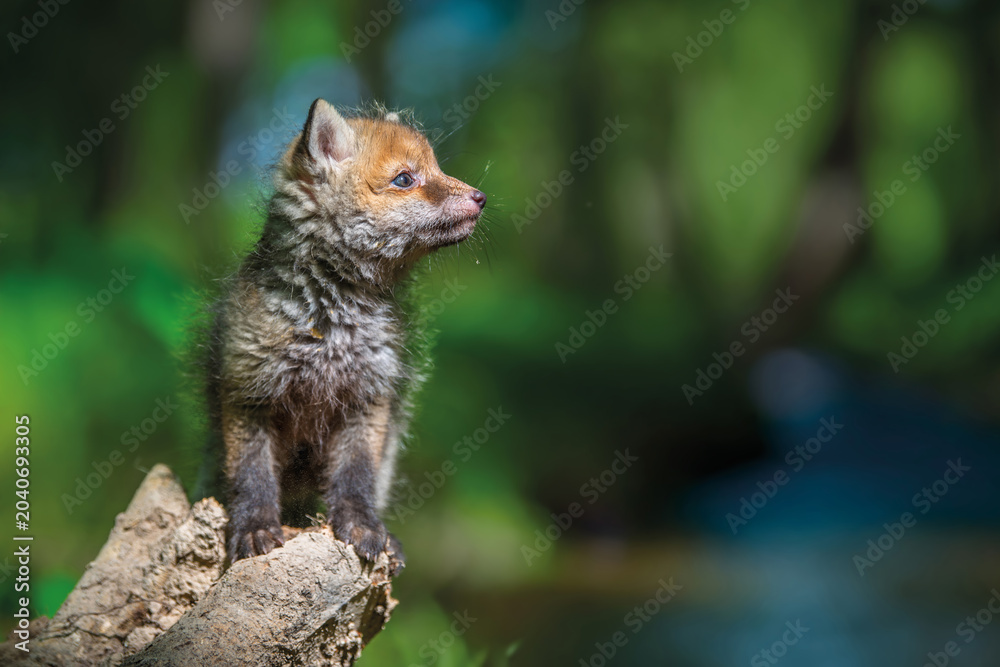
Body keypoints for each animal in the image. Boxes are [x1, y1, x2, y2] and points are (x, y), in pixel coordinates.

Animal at [199, 99, 487, 566]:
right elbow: (251, 477)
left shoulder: (368, 400)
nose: (481, 198)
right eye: (405, 179)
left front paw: (363, 527)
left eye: (437, 168)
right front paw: (255, 528)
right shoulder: (247, 393)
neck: (330, 322)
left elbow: (356, 478)